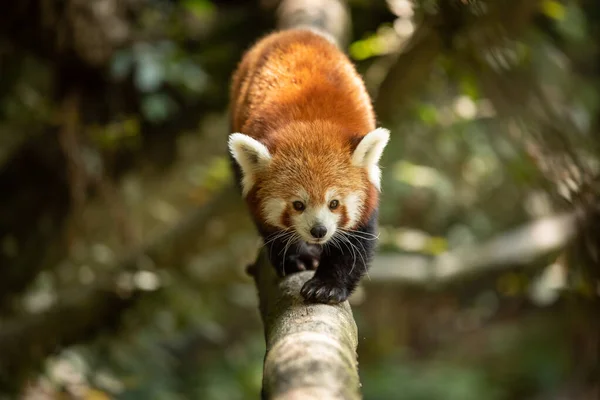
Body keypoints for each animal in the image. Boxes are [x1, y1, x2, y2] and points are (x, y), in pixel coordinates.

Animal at [226, 28, 390, 304]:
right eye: (297, 205)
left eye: (334, 203)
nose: (319, 231)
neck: (310, 124)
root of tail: (292, 33)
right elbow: (273, 232)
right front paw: (297, 258)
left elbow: (355, 245)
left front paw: (327, 285)